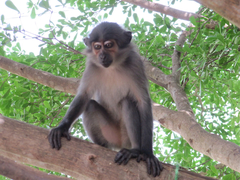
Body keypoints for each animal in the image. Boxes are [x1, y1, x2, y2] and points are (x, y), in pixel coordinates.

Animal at [47, 21, 162, 176]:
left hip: (125, 136)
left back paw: (135, 151)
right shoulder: (92, 66)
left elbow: (143, 102)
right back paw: (101, 146)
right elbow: (84, 96)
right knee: (90, 105)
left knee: (128, 102)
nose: (101, 56)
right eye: (97, 47)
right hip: (110, 133)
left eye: (108, 45)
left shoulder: (135, 63)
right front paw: (61, 128)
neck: (112, 67)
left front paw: (148, 153)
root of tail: (119, 144)